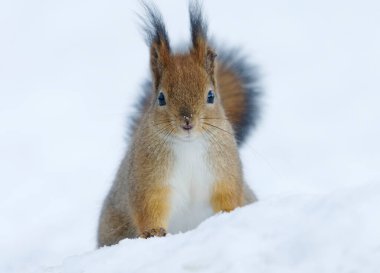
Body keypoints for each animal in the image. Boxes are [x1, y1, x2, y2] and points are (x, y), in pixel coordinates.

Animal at [97, 1, 262, 245]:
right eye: (161, 98)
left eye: (211, 96)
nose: (187, 122)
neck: (189, 146)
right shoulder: (148, 179)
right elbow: (147, 206)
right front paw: (153, 232)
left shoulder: (226, 172)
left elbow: (228, 197)